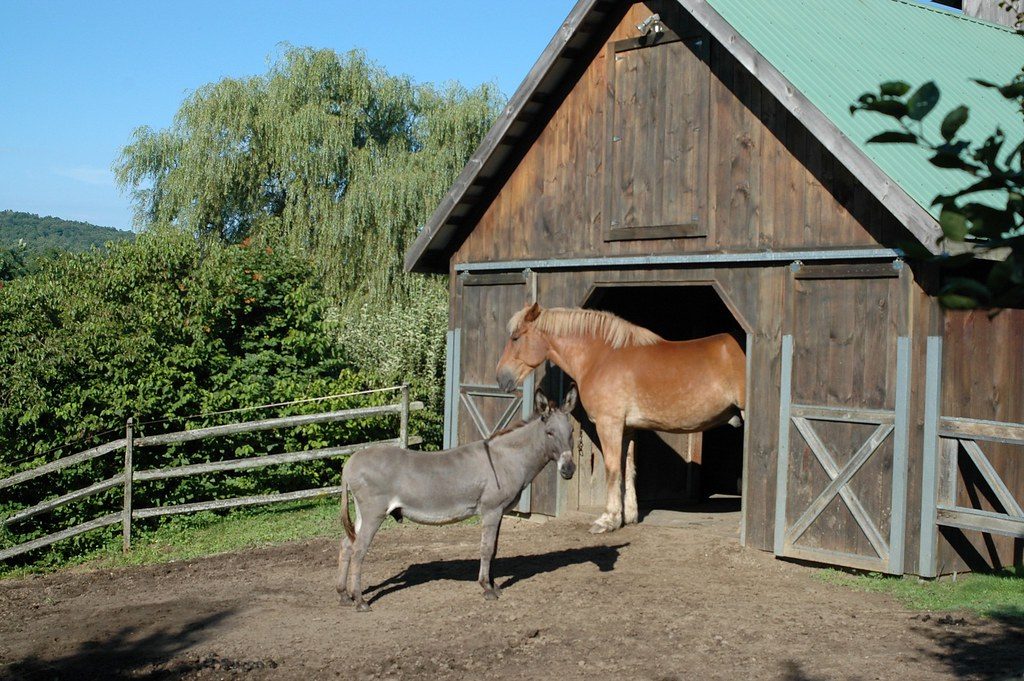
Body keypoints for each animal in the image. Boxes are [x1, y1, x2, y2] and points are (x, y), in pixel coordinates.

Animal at [337, 386, 578, 611]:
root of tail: (350, 463)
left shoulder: (500, 512)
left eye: (572, 431)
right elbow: (486, 549)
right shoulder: (491, 510)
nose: (569, 470)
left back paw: (344, 596)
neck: (506, 459)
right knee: (359, 550)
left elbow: (495, 548)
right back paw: (360, 601)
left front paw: (494, 585)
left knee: (347, 546)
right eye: (549, 433)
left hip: (362, 514)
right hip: (374, 513)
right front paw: (486, 588)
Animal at [496, 303, 745, 534]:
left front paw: (608, 520)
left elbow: (613, 469)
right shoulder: (628, 428)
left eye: (516, 338)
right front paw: (630, 516)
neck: (601, 357)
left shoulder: (610, 424)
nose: (501, 378)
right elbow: (628, 469)